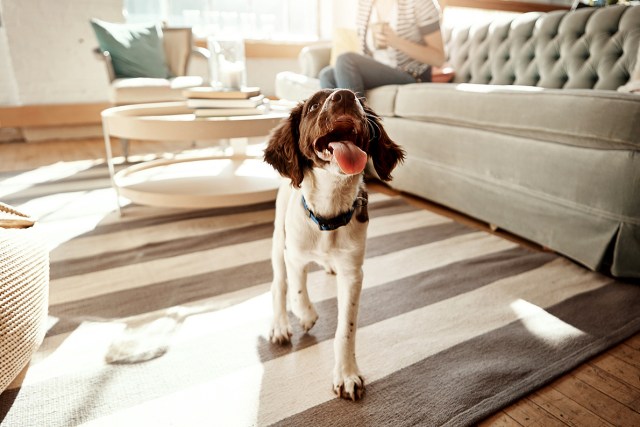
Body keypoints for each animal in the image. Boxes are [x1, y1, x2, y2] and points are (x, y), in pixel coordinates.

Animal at [262, 88, 402, 402]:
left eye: (361, 102)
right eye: (314, 106)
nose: (346, 96)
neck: (328, 214)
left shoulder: (353, 273)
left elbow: (346, 329)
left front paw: (347, 375)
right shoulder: (294, 255)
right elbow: (297, 292)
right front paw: (306, 316)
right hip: (278, 239)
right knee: (279, 285)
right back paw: (280, 325)